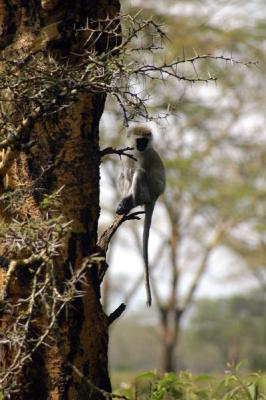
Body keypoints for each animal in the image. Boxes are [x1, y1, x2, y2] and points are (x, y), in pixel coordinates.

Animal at [117, 126, 166, 306]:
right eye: (139, 140)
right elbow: (125, 172)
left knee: (138, 173)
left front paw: (126, 202)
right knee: (125, 173)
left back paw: (132, 202)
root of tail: (155, 198)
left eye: (146, 140)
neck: (139, 153)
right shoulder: (127, 156)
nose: (142, 146)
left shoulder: (147, 156)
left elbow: (141, 171)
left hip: (147, 193)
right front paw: (122, 202)